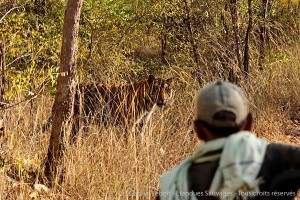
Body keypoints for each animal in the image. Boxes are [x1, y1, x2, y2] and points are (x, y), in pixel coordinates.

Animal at [42, 74, 173, 138]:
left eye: (167, 89)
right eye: (156, 89)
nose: (163, 100)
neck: (149, 106)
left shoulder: (142, 124)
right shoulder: (129, 123)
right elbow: (129, 140)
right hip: (78, 119)